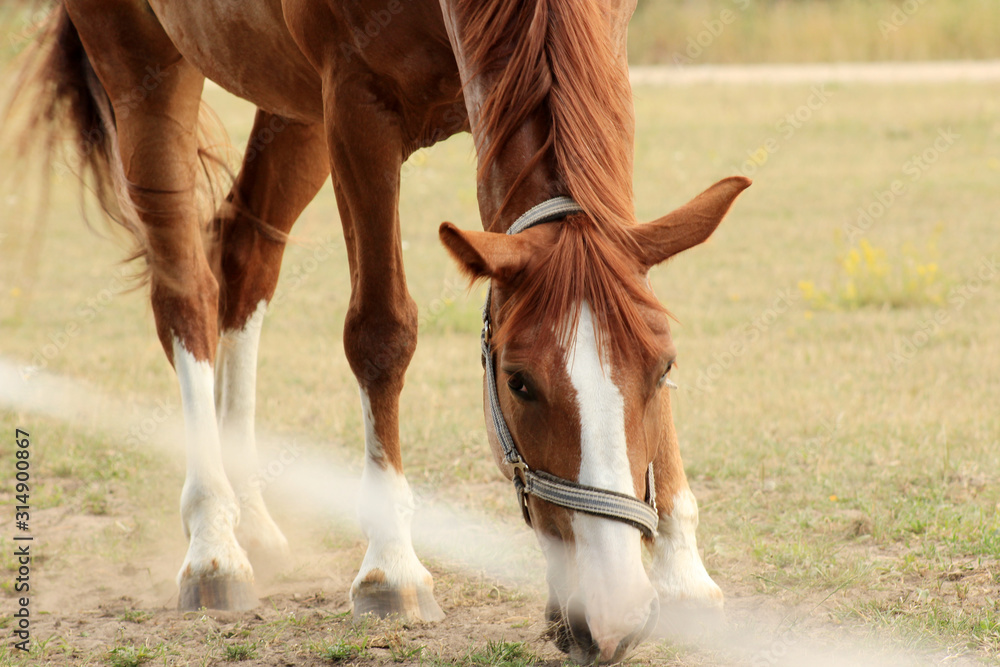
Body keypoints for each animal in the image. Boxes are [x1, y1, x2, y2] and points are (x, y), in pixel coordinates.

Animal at [7, 0, 749, 662]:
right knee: (186, 293)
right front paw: (391, 566)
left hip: (292, 105)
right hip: (146, 68)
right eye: (518, 382)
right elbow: (381, 330)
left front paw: (683, 572)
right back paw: (214, 543)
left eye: (663, 367)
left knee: (244, 257)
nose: (614, 610)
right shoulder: (356, 104)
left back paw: (252, 519)